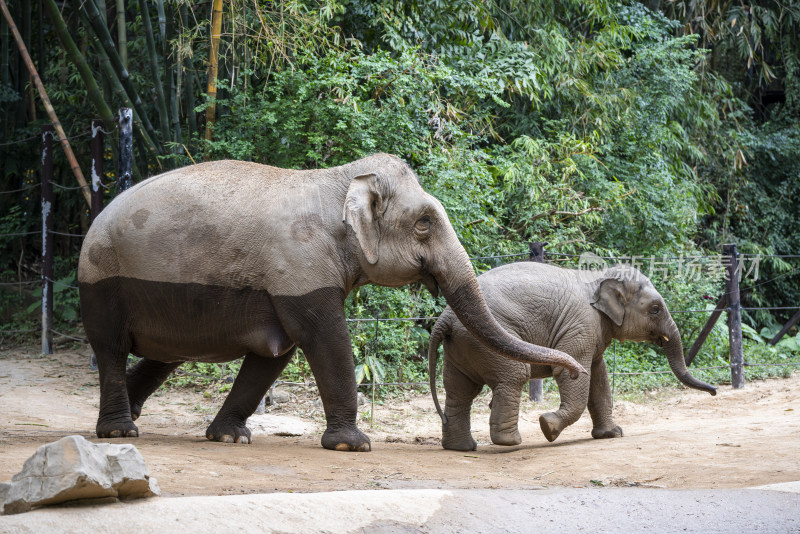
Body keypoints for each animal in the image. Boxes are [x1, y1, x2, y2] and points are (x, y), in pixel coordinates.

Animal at [78, 154, 584, 452]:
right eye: (423, 223)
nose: (576, 367)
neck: (339, 180)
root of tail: (94, 219)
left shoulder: (284, 281)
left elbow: (274, 353)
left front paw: (230, 437)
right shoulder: (300, 266)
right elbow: (325, 338)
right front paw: (353, 445)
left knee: (166, 355)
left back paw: (133, 415)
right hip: (102, 282)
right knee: (111, 347)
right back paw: (119, 431)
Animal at [428, 264, 716, 452]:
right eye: (655, 309)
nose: (714, 391)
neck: (598, 278)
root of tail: (445, 318)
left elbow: (599, 377)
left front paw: (613, 435)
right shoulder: (582, 325)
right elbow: (573, 375)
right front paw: (548, 427)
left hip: (461, 345)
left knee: (459, 389)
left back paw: (462, 448)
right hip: (486, 340)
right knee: (514, 375)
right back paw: (511, 443)